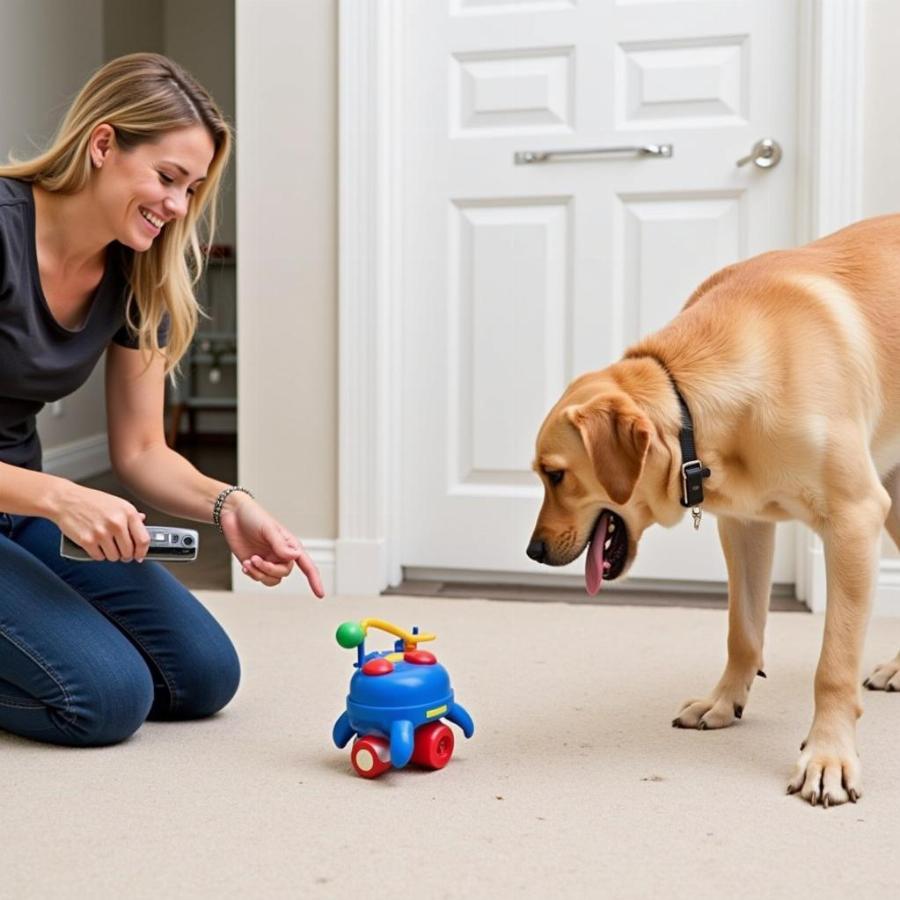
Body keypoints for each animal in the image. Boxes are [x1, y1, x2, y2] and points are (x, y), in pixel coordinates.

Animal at [528, 216, 900, 808]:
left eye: (556, 474)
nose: (533, 551)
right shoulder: (744, 527)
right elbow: (742, 631)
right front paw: (724, 702)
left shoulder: (853, 520)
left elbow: (833, 667)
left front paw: (828, 756)